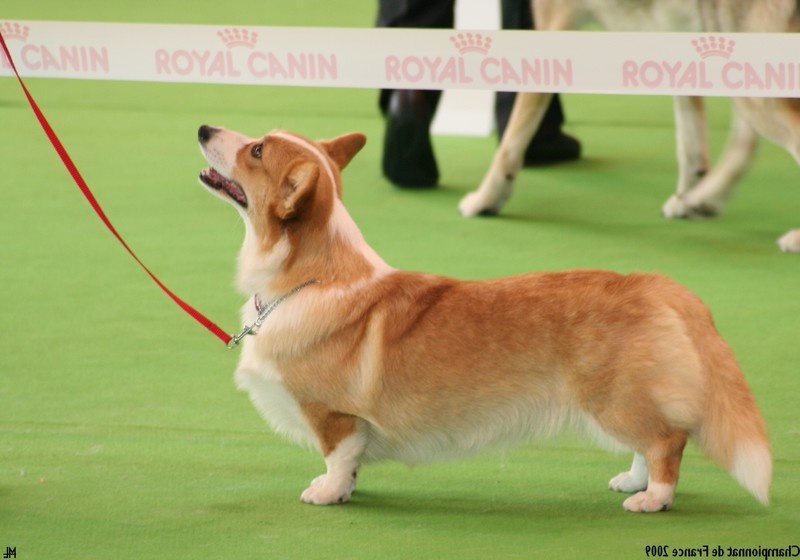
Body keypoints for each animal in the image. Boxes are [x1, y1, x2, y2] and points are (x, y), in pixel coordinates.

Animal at [197, 124, 771, 512]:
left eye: (256, 150)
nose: (204, 129)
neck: (311, 278)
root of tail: (653, 283)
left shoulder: (331, 414)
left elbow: (336, 456)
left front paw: (328, 493)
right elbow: (350, 460)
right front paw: (346, 487)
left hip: (612, 398)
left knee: (667, 440)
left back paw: (653, 498)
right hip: (620, 398)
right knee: (649, 441)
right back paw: (635, 482)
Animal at [458, 0, 800, 253]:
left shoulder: (550, 31)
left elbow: (510, 143)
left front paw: (486, 199)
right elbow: (691, 147)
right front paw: (687, 198)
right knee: (744, 143)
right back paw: (703, 201)